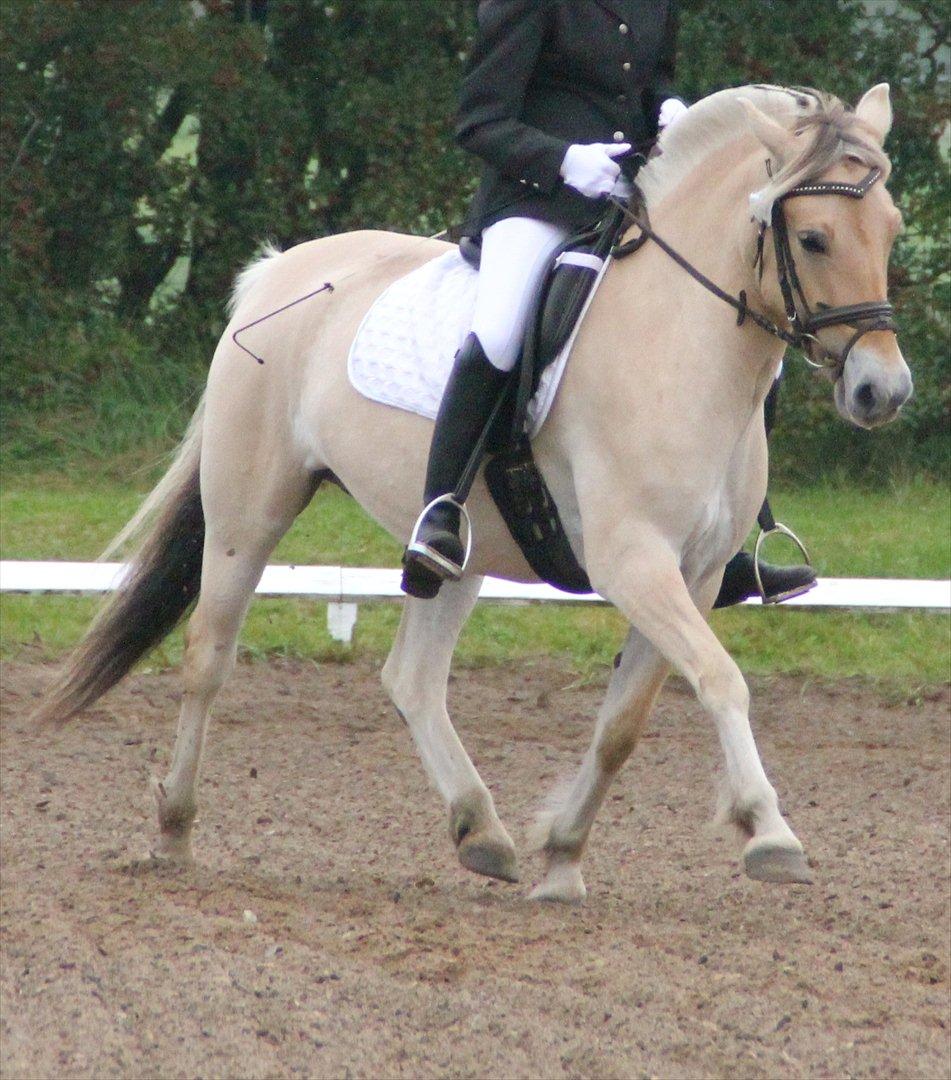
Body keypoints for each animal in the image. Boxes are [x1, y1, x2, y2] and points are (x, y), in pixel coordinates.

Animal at [40, 84, 911, 902]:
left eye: (893, 229)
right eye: (813, 237)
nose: (883, 391)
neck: (677, 345)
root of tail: (274, 270)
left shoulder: (693, 576)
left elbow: (624, 723)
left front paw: (560, 855)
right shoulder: (631, 561)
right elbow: (720, 678)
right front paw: (769, 832)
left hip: (464, 546)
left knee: (412, 677)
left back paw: (480, 829)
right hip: (248, 513)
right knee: (208, 655)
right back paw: (174, 830)